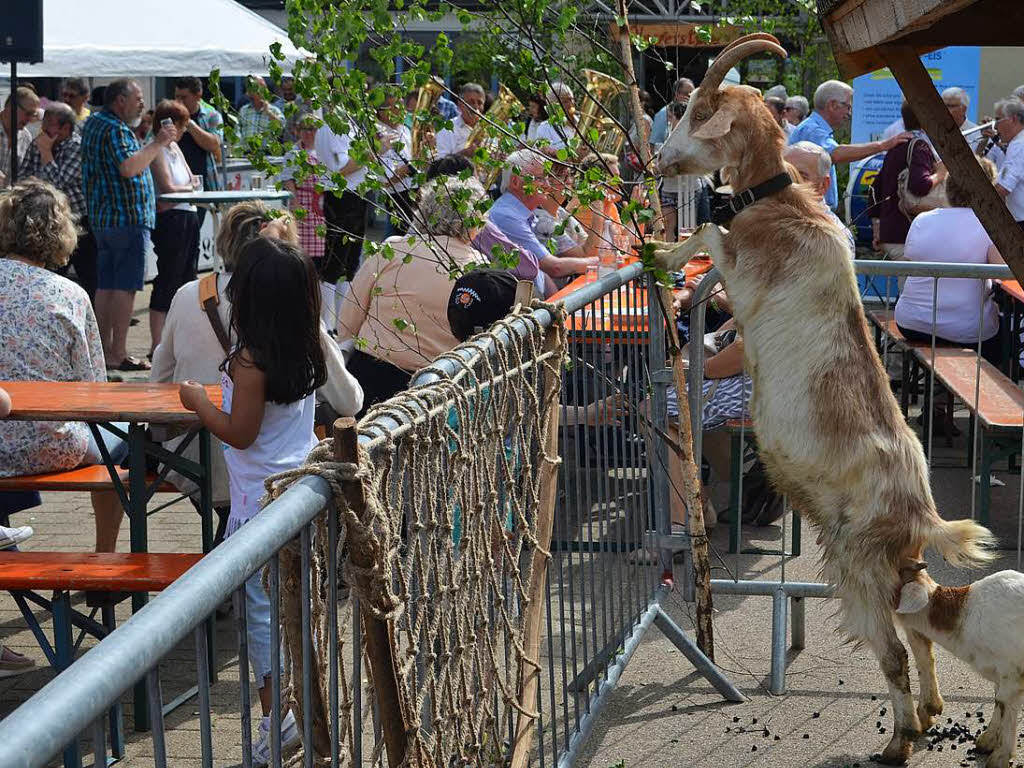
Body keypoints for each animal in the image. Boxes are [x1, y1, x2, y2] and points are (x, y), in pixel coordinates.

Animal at [651, 33, 995, 765]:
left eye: (695, 109)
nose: (659, 160)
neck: (779, 203)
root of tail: (923, 513)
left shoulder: (742, 270)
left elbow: (711, 238)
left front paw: (663, 259)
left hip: (857, 563)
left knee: (894, 650)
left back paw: (899, 741)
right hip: (896, 567)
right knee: (920, 630)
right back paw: (930, 712)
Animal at [897, 565, 1024, 768]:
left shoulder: (1011, 673)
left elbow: (1007, 707)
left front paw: (1000, 757)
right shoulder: (1001, 675)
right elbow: (999, 702)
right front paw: (987, 741)